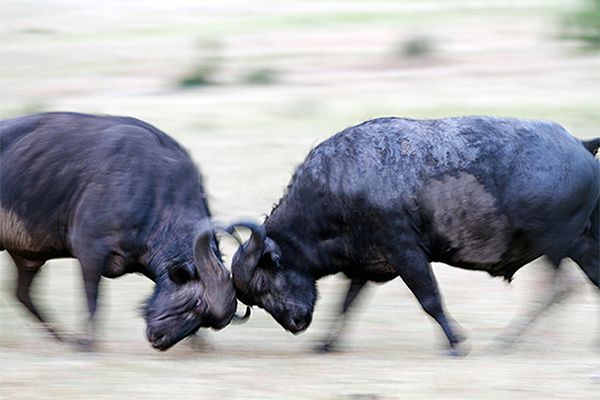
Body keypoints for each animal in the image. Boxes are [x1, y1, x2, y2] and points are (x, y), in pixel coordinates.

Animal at [2, 112, 243, 350]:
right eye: (197, 303)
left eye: (206, 321)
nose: (160, 340)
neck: (153, 192)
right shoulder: (89, 250)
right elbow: (93, 299)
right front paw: (87, 344)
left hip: (27, 258)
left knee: (21, 293)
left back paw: (61, 336)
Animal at [229, 117, 600, 354]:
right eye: (255, 298)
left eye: (264, 281)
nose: (295, 323)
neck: (339, 187)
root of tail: (580, 145)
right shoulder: (364, 266)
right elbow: (346, 304)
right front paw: (326, 344)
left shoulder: (407, 255)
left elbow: (430, 301)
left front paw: (455, 343)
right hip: (580, 245)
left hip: (557, 246)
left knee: (559, 289)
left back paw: (508, 340)